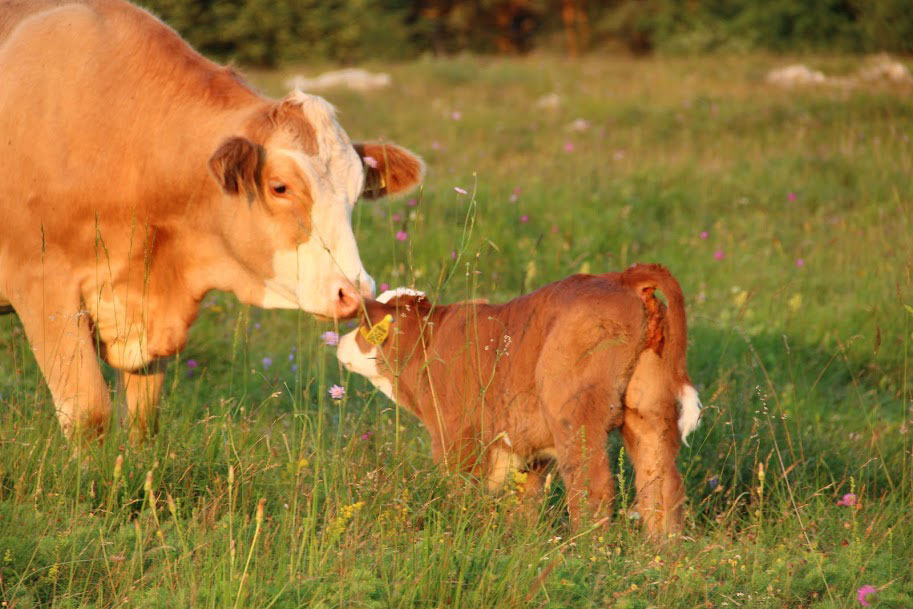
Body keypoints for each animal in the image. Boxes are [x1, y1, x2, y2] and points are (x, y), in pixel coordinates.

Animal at [0, 0, 426, 440]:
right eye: (280, 187)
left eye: (357, 192)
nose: (355, 291)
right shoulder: (43, 286)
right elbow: (88, 414)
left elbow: (142, 418)